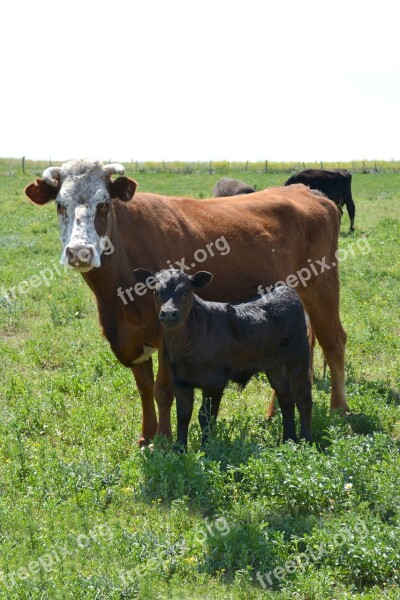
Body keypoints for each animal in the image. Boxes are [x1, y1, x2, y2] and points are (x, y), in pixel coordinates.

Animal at [134, 268, 312, 450]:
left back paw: (306, 441)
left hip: (298, 359)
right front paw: (179, 449)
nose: (169, 313)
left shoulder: (214, 381)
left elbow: (206, 416)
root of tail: (285, 290)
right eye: (157, 291)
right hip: (275, 366)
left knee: (303, 398)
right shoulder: (179, 381)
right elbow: (183, 415)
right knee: (286, 398)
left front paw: (206, 448)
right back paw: (289, 440)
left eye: (185, 291)